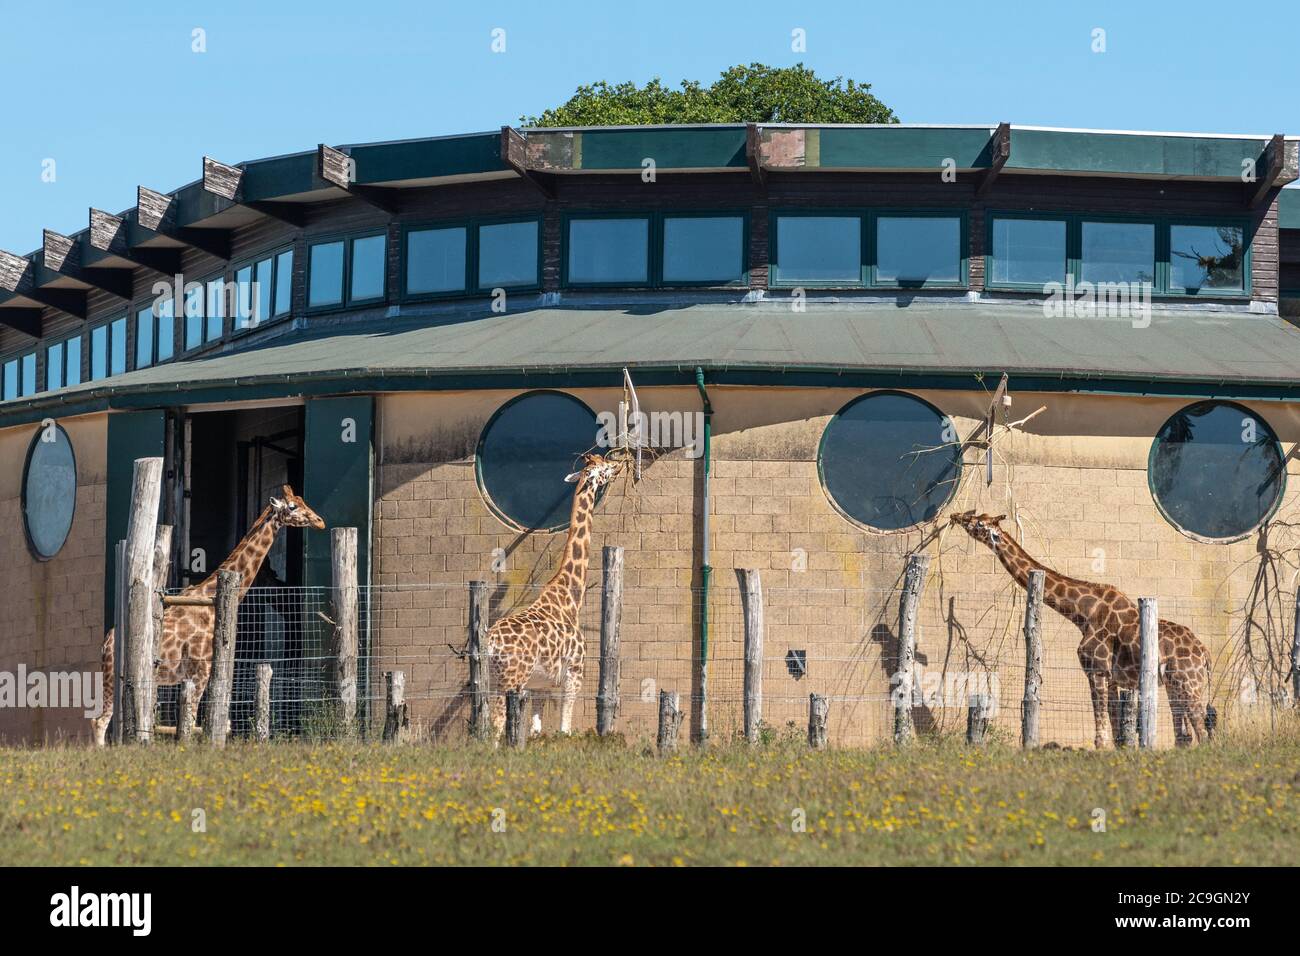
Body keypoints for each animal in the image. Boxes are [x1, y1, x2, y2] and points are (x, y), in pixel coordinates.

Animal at [91, 486, 325, 746]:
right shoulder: (200, 671)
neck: (210, 599)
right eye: (292, 507)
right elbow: (192, 722)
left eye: (302, 501)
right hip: (114, 676)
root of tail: (106, 643)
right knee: (99, 722)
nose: (320, 522)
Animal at [486, 451, 629, 739]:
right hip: (512, 678)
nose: (619, 464)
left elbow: (536, 731)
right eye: (604, 469)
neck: (570, 597)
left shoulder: (542, 685)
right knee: (497, 722)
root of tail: (492, 643)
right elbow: (565, 729)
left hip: (494, 678)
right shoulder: (574, 672)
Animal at [949, 511, 1215, 748]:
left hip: (1190, 683)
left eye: (979, 523)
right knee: (1184, 736)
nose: (957, 516)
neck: (1083, 614)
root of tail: (1204, 653)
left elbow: (1101, 736)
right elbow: (1117, 733)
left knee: (1202, 732)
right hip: (1174, 685)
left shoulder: (1096, 670)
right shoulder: (1112, 679)